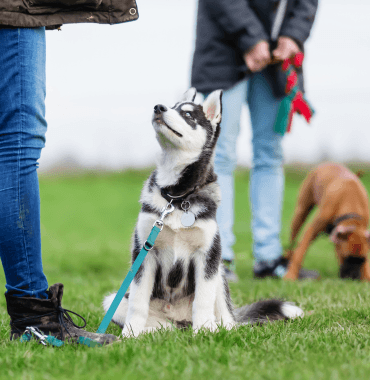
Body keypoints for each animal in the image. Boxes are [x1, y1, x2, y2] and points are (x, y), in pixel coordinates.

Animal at [103, 90, 304, 338]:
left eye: (188, 114)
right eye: (171, 106)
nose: (158, 107)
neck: (176, 198)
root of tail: (180, 321)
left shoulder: (208, 255)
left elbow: (203, 300)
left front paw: (204, 332)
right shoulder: (144, 253)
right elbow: (138, 302)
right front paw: (130, 335)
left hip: (219, 275)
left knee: (225, 316)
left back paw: (217, 328)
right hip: (113, 300)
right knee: (162, 324)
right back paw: (154, 333)